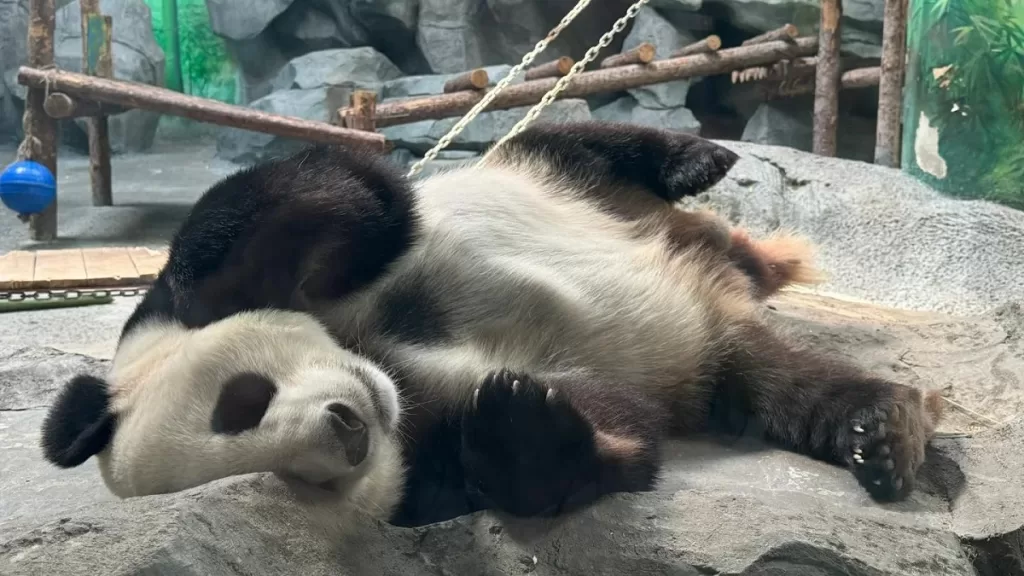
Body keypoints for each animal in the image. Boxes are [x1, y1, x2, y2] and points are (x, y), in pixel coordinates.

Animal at [39, 121, 946, 528]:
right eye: (295, 479)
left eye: (243, 401)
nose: (349, 430)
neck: (380, 359)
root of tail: (717, 266)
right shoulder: (426, 440)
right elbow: (608, 425)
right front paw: (524, 425)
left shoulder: (208, 291)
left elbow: (334, 194)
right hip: (721, 358)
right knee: (782, 387)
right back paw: (876, 433)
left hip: (547, 174)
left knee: (571, 138)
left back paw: (695, 160)